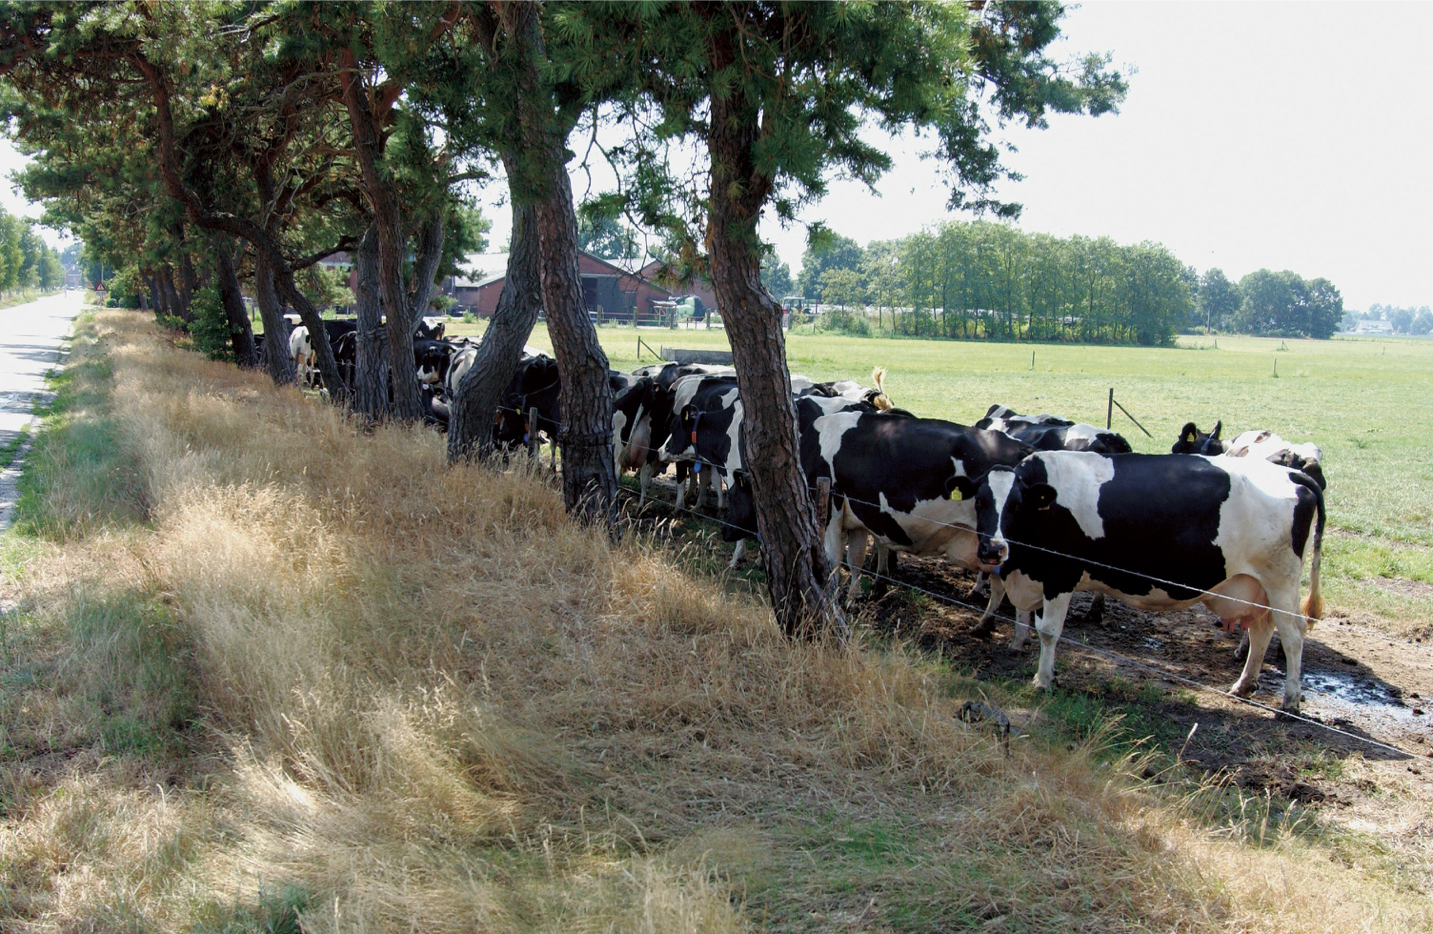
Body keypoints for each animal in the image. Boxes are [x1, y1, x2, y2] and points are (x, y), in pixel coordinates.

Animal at [968, 452, 1324, 707]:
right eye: (980, 500)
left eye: (1016, 505)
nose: (993, 549)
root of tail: (1290, 473)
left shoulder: (1060, 576)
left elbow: (1049, 632)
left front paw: (1042, 680)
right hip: (1258, 587)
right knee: (1262, 631)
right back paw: (1244, 684)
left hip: (1281, 583)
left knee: (1293, 636)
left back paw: (1291, 701)